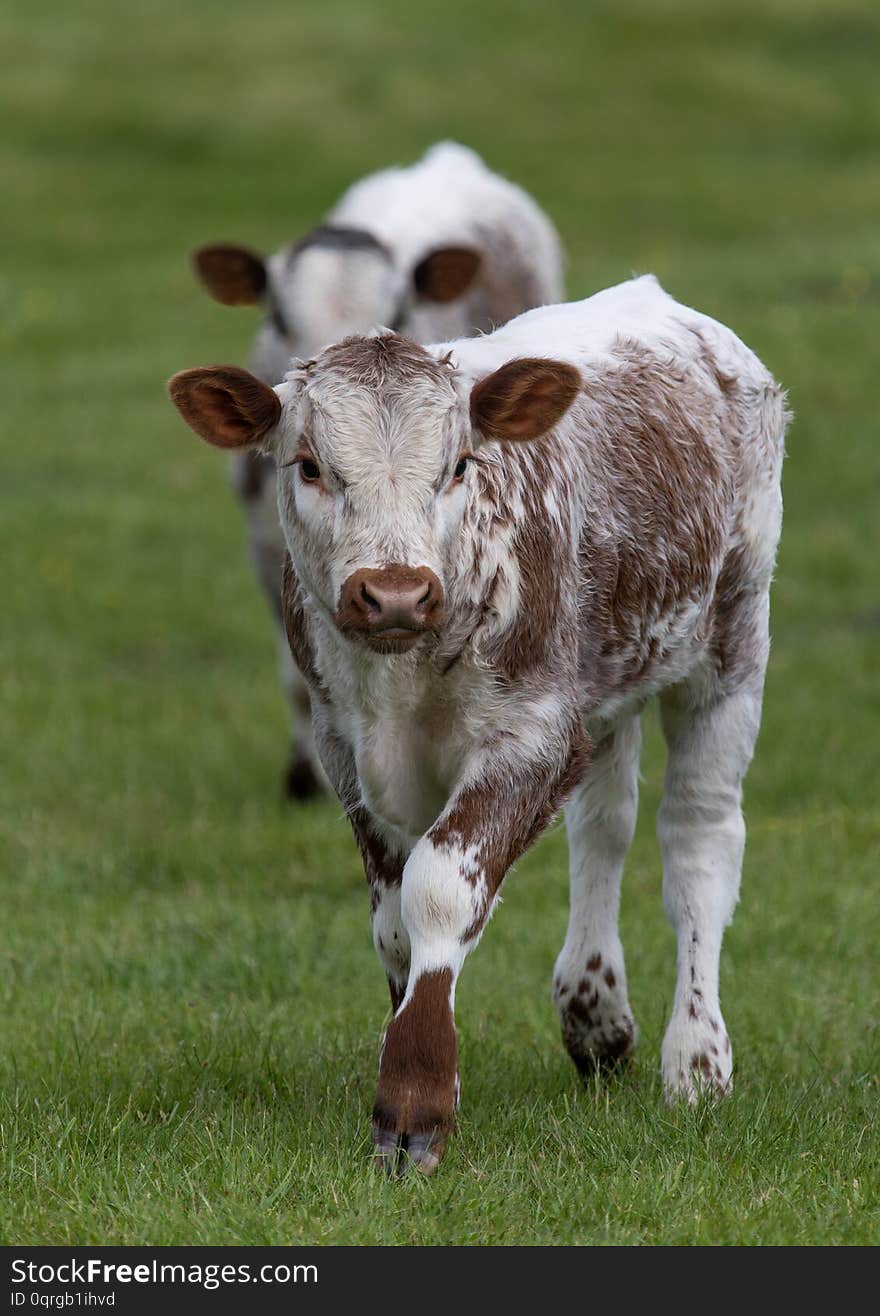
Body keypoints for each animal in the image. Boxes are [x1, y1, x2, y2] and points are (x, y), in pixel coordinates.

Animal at [168, 275, 783, 1173]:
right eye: (311, 467)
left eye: (458, 465)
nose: (393, 592)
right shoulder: (346, 753)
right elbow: (394, 927)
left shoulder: (531, 737)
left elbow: (439, 890)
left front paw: (414, 1102)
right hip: (607, 684)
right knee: (604, 828)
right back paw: (595, 1016)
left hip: (732, 641)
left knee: (699, 841)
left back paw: (697, 1059)